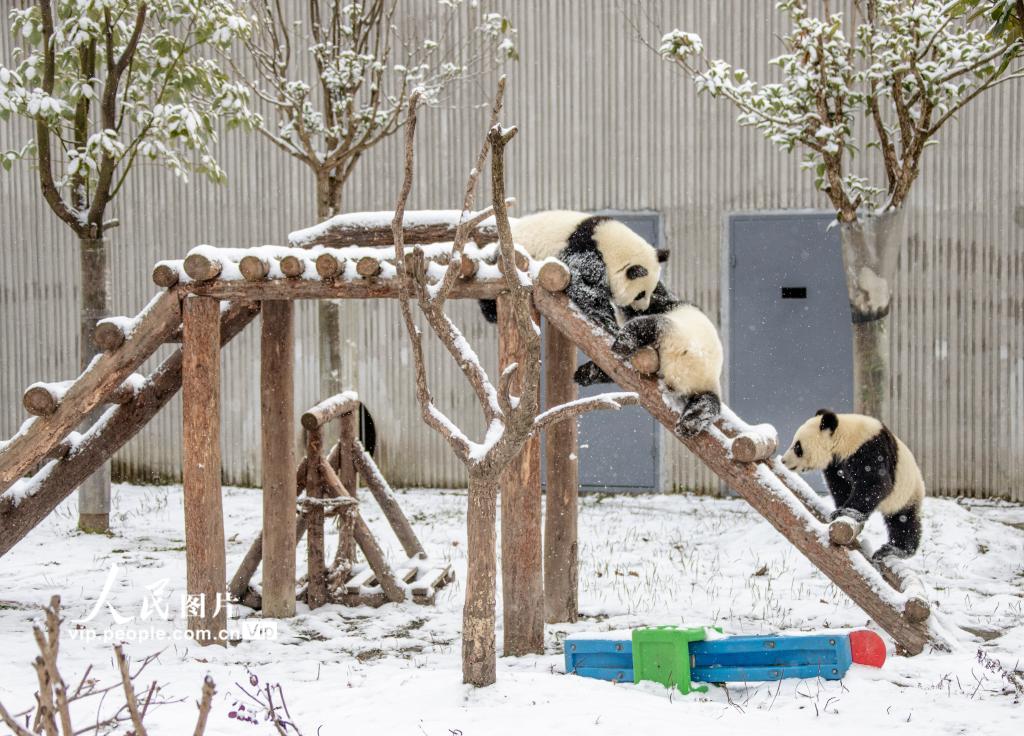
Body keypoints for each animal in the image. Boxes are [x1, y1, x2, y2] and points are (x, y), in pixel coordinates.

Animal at [610, 290, 724, 434]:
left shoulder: (660, 306)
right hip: (704, 385)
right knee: (708, 403)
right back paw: (690, 424)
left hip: (671, 332)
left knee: (648, 325)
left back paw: (623, 344)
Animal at [782, 411, 929, 560]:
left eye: (797, 447)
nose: (783, 461)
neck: (845, 438)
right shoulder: (836, 464)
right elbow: (840, 486)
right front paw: (839, 509)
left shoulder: (870, 449)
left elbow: (875, 483)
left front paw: (849, 511)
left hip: (907, 492)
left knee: (903, 520)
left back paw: (897, 549)